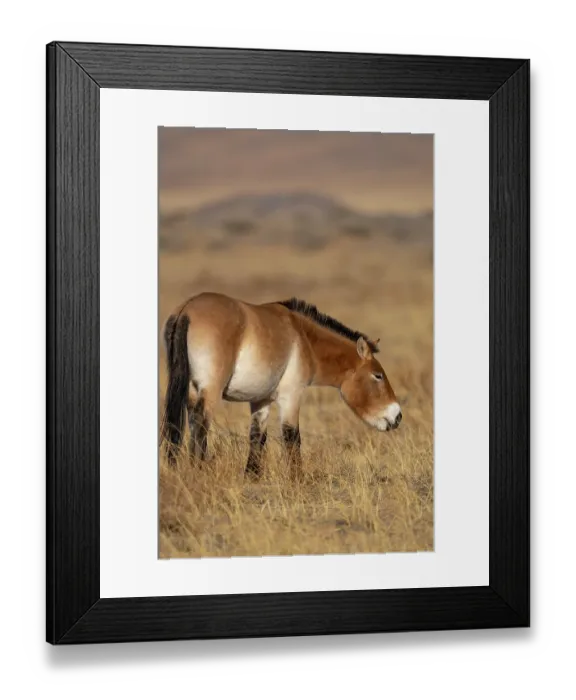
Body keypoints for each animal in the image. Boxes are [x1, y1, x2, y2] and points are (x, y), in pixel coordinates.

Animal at [161, 292, 402, 478]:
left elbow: (258, 436)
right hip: (211, 391)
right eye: (378, 376)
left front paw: (252, 476)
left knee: (190, 423)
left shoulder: (260, 400)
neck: (303, 337)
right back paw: (200, 469)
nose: (397, 416)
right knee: (201, 424)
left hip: (192, 391)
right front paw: (298, 479)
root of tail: (186, 310)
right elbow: (292, 436)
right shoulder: (291, 396)